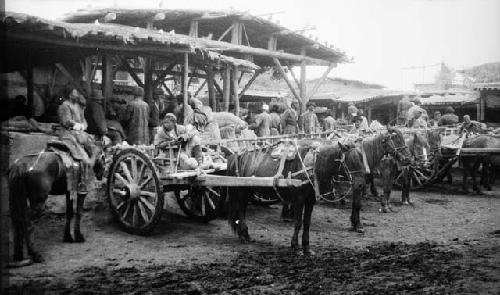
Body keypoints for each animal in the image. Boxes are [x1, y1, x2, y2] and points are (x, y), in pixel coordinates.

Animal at [7, 135, 105, 264]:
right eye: (104, 156)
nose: (101, 174)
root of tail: (20, 166)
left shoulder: (69, 192)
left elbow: (69, 213)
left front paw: (68, 237)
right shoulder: (81, 191)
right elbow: (79, 212)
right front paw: (78, 236)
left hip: (16, 199)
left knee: (16, 222)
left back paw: (18, 255)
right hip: (38, 201)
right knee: (28, 223)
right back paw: (35, 254)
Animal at [226, 140, 364, 256]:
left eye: (361, 160)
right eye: (351, 161)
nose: (361, 184)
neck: (312, 167)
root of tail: (236, 156)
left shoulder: (310, 201)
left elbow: (307, 223)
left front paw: (306, 247)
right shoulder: (299, 200)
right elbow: (298, 222)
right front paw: (295, 246)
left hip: (248, 191)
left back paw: (244, 234)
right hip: (242, 191)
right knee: (241, 210)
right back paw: (244, 235)